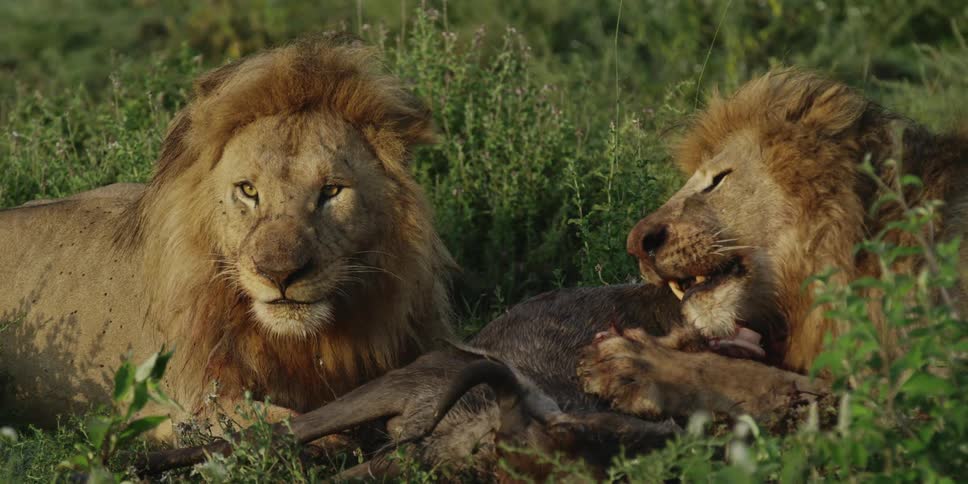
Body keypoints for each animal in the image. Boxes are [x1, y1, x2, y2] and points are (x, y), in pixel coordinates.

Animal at [0, 35, 454, 436]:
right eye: (248, 190)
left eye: (331, 191)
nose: (280, 275)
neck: (307, 343)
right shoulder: (196, 406)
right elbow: (296, 428)